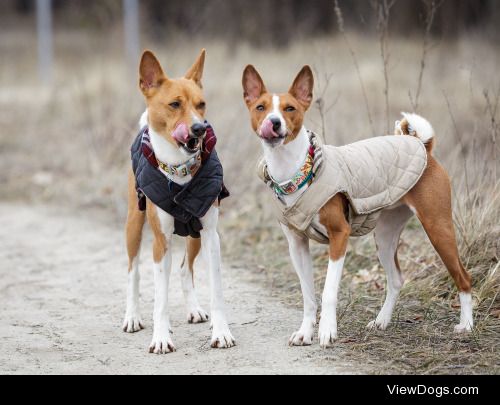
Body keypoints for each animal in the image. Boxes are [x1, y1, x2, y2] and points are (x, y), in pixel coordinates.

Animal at [124, 49, 235, 354]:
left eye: (201, 104)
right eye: (174, 104)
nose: (199, 128)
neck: (179, 169)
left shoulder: (211, 235)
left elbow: (217, 292)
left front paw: (221, 332)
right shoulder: (160, 242)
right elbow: (160, 298)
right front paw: (161, 337)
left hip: (194, 234)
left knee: (187, 270)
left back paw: (194, 309)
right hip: (134, 225)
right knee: (134, 271)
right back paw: (132, 316)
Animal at [242, 64, 472, 346]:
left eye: (290, 108)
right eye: (261, 107)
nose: (273, 122)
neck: (296, 172)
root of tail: (423, 146)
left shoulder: (339, 235)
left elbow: (328, 291)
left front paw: (327, 331)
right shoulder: (297, 244)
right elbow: (308, 296)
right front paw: (305, 331)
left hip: (438, 228)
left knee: (463, 277)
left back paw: (466, 325)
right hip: (385, 237)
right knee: (396, 279)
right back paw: (382, 321)